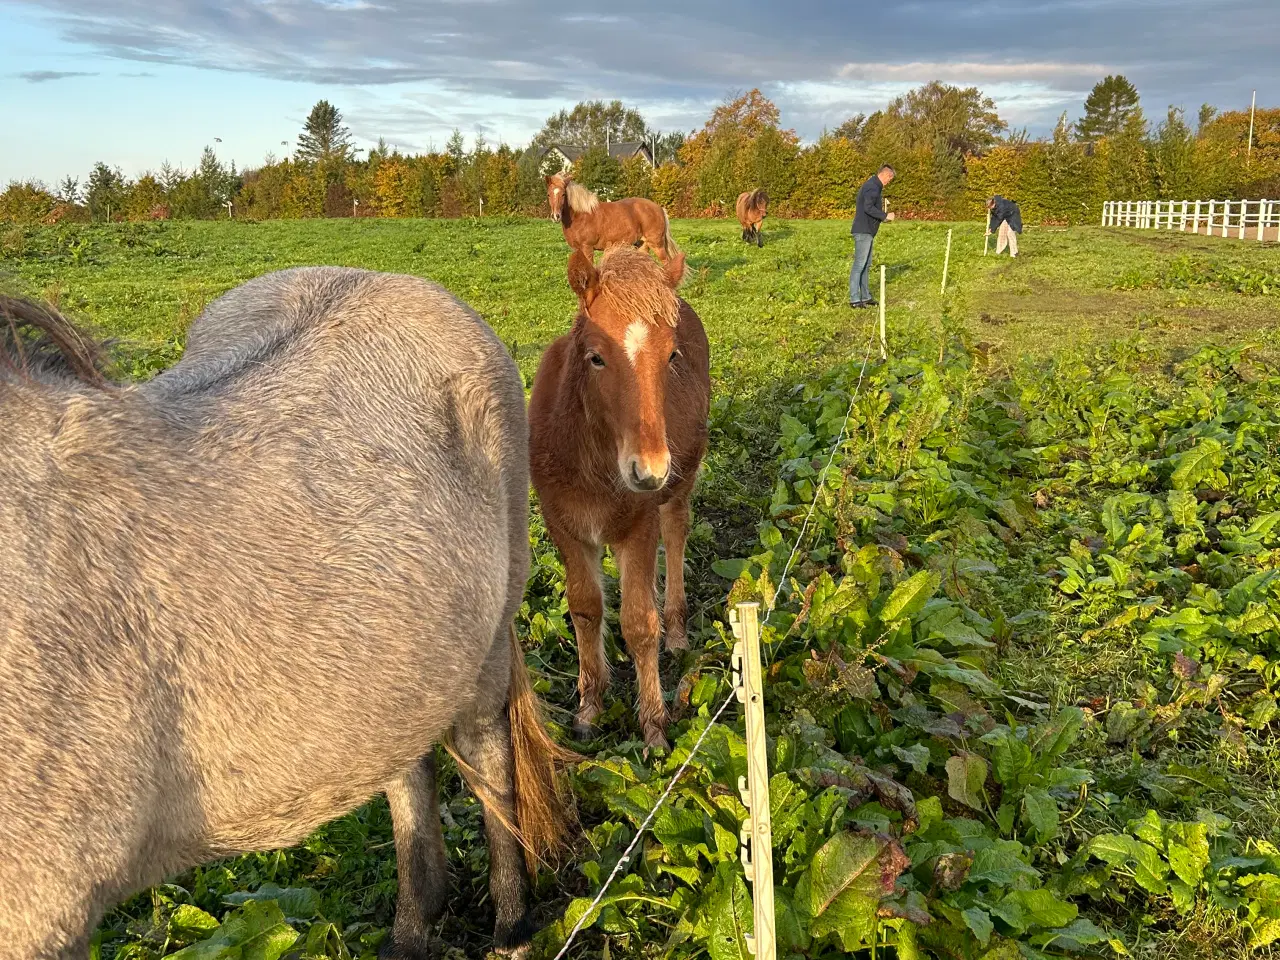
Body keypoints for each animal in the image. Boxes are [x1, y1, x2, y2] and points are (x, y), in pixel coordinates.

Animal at [527, 248, 711, 752]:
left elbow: (639, 623)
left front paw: (653, 726)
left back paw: (677, 631)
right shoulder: (565, 528)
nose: (648, 470)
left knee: (676, 534)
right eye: (595, 358)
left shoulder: (639, 528)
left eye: (671, 355)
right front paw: (589, 707)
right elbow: (585, 609)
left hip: (679, 488)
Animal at [542, 174, 680, 264]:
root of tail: (659, 208)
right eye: (548, 194)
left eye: (563, 194)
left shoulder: (587, 248)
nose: (556, 216)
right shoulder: (577, 250)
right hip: (642, 245)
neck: (580, 216)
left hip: (657, 245)